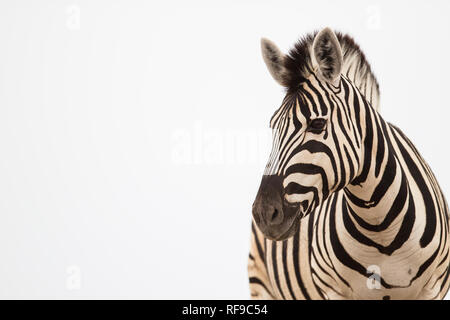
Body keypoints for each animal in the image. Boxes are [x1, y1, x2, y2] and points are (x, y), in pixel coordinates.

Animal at [250, 27, 450, 300]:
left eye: (317, 124)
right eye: (273, 126)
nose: (264, 213)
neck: (381, 228)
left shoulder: (434, 287)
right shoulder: (332, 290)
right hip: (260, 284)